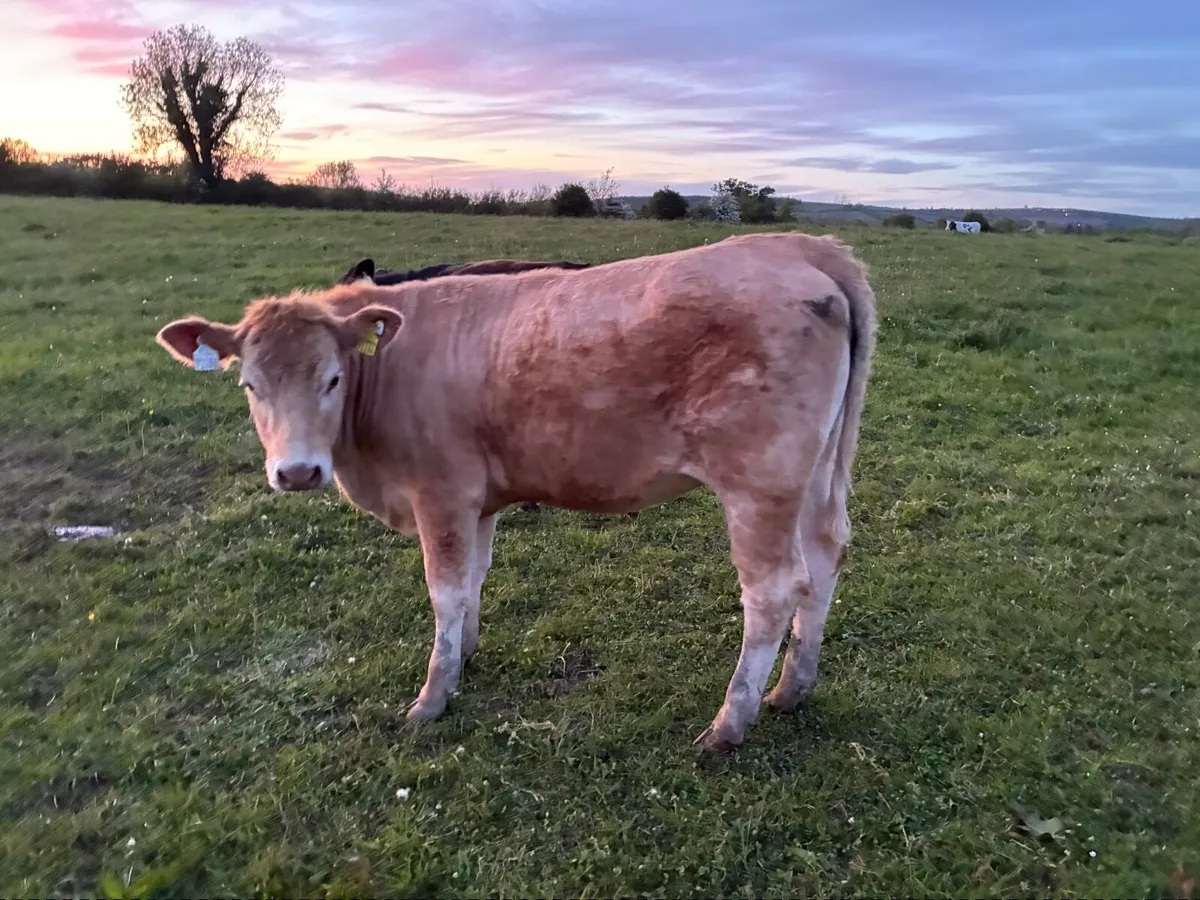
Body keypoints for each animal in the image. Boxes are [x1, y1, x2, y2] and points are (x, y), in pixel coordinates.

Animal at [154, 231, 878, 753]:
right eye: (250, 385)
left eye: (332, 378)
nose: (298, 471)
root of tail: (798, 246)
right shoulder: (478, 499)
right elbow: (473, 578)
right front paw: (463, 657)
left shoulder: (441, 492)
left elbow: (445, 590)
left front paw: (431, 697)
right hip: (812, 477)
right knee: (823, 561)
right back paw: (792, 689)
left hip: (759, 484)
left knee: (773, 590)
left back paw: (731, 723)